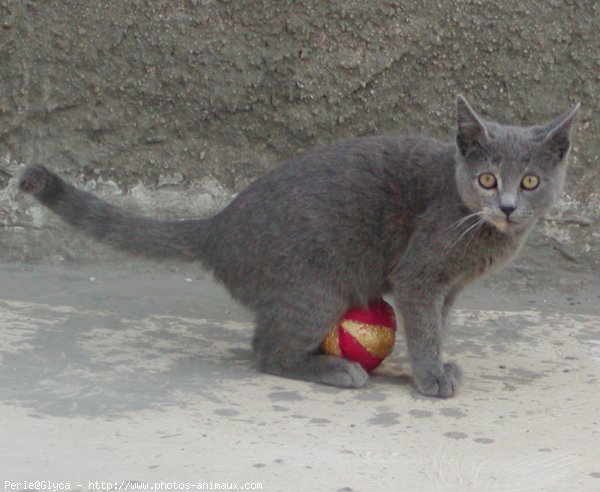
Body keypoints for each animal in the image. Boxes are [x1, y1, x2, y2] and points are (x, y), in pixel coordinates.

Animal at [21, 97, 580, 400]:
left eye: (530, 181)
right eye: (487, 179)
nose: (507, 206)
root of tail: (218, 225)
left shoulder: (450, 288)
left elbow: (437, 325)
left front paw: (441, 364)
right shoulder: (419, 275)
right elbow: (423, 327)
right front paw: (430, 376)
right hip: (315, 290)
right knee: (267, 351)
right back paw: (334, 369)